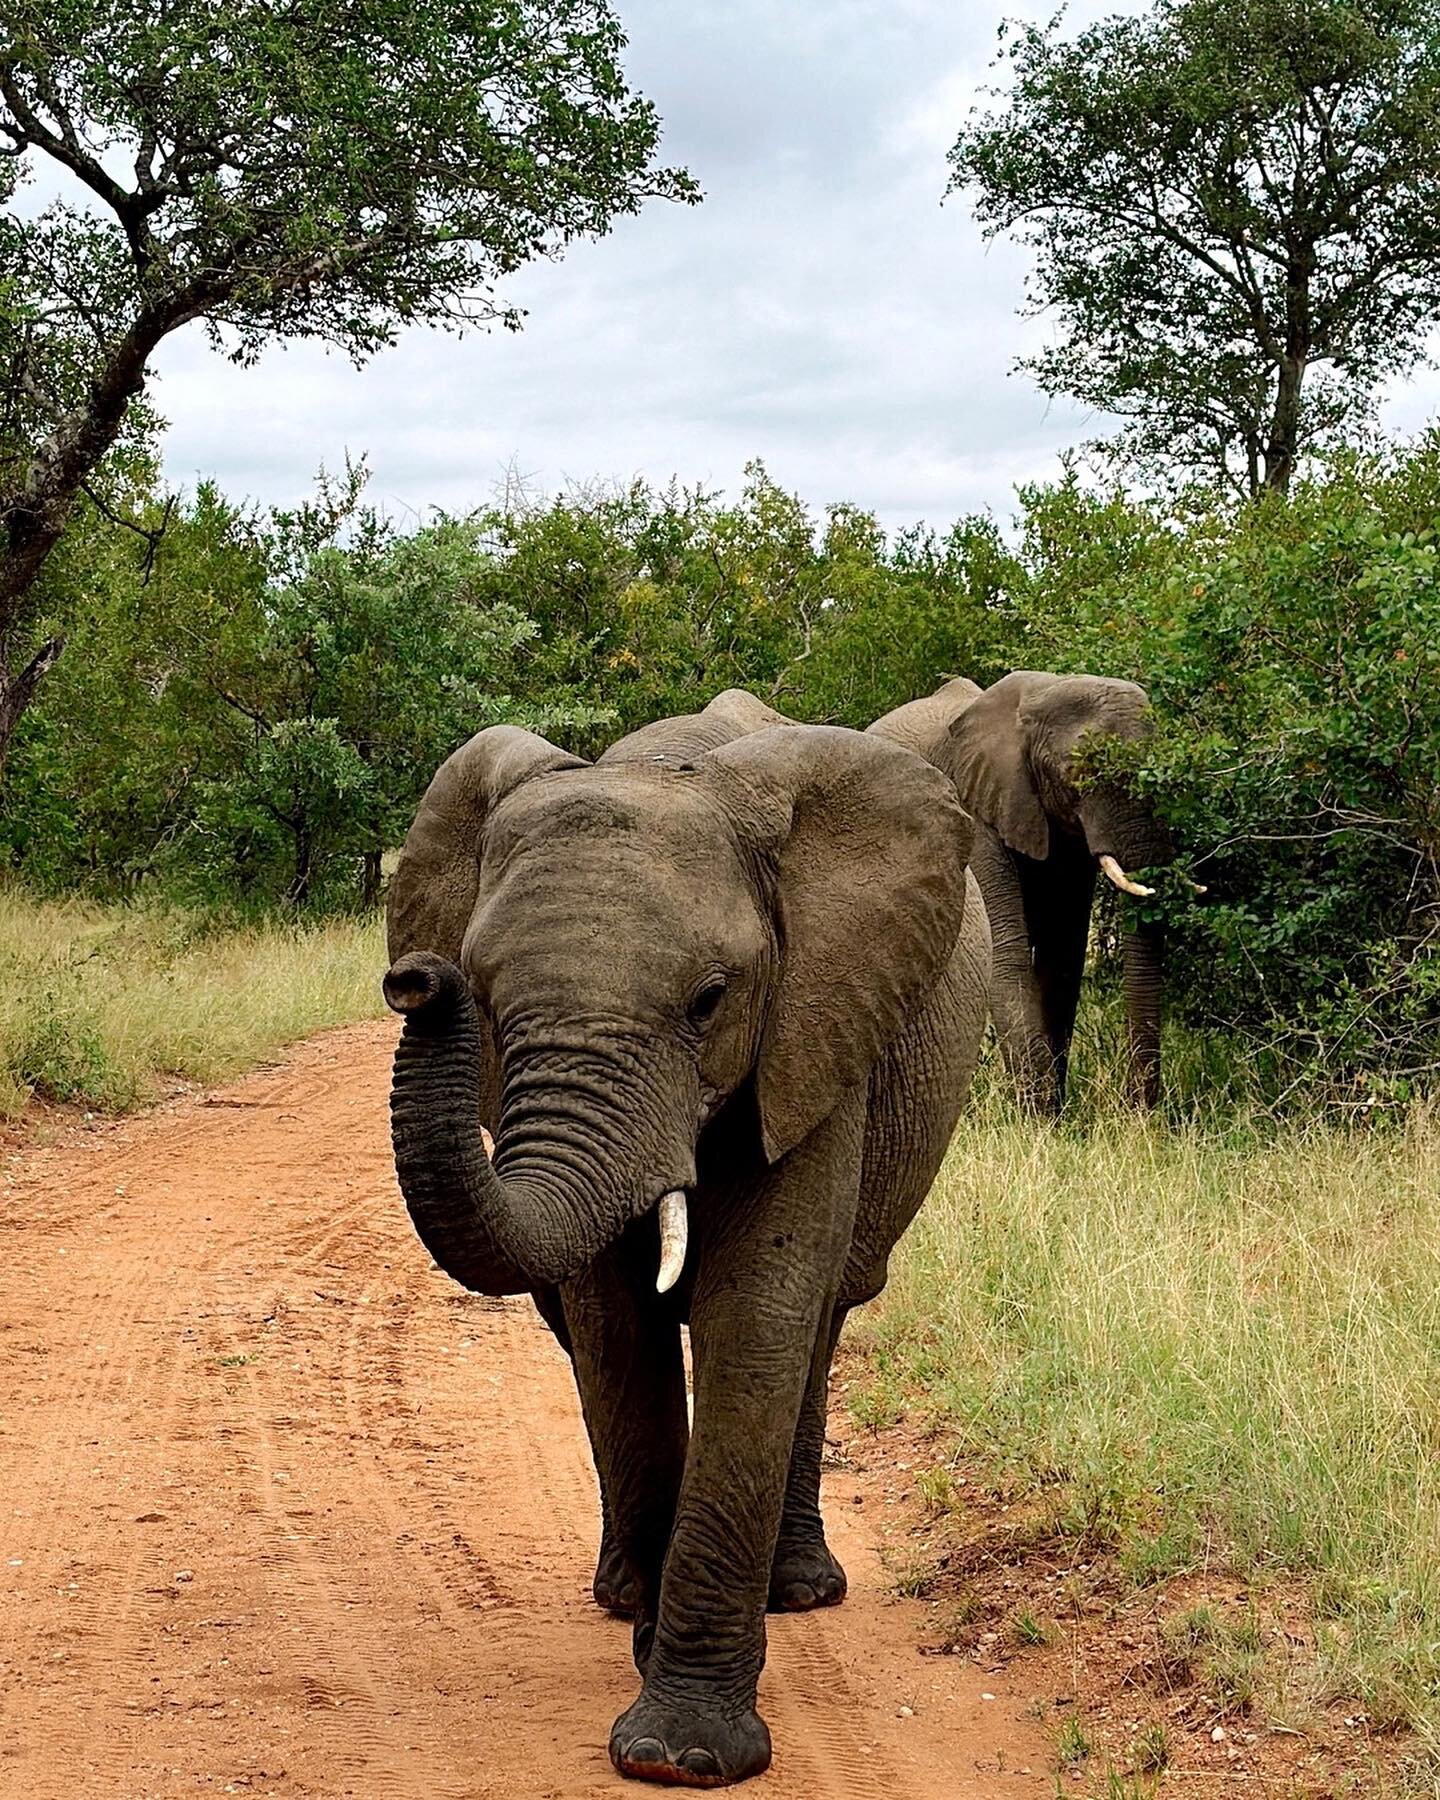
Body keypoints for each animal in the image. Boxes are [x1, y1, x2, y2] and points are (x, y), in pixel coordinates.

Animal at [381, 687, 993, 1785]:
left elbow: (757, 1313)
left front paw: (682, 1757)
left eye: (711, 1000)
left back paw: (800, 1592)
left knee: (823, 1318)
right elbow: (617, 1334)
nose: (416, 979)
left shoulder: (810, 1026)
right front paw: (651, 1674)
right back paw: (626, 1593)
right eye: (483, 995)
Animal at [871, 676, 1188, 1116]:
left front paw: (1055, 1111)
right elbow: (1007, 952)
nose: (1136, 1113)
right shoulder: (974, 809)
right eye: (1078, 773)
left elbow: (1063, 957)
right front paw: (1041, 1115)